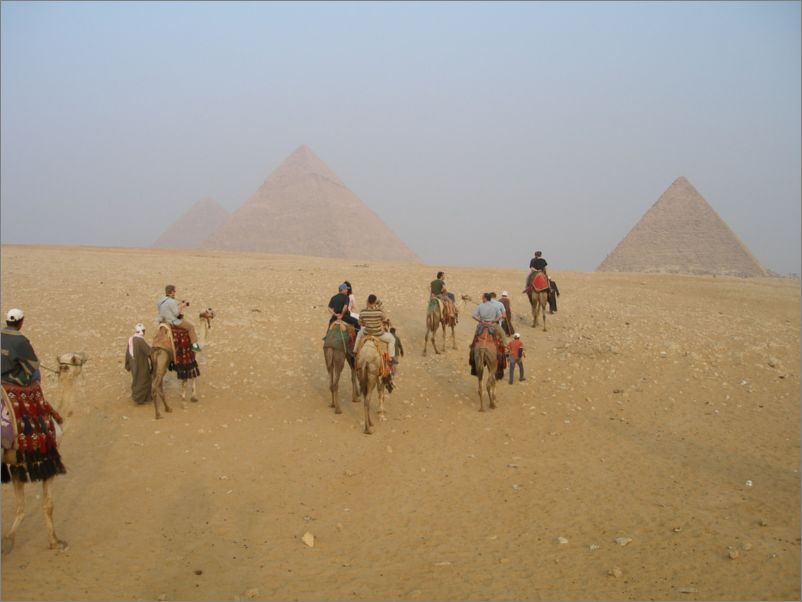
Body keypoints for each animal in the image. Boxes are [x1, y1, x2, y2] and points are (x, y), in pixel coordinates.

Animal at [1, 352, 88, 552]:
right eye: (76, 358)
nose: (85, 355)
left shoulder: (17, 464)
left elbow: (20, 507)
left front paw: (8, 540)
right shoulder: (48, 460)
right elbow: (48, 504)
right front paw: (55, 542)